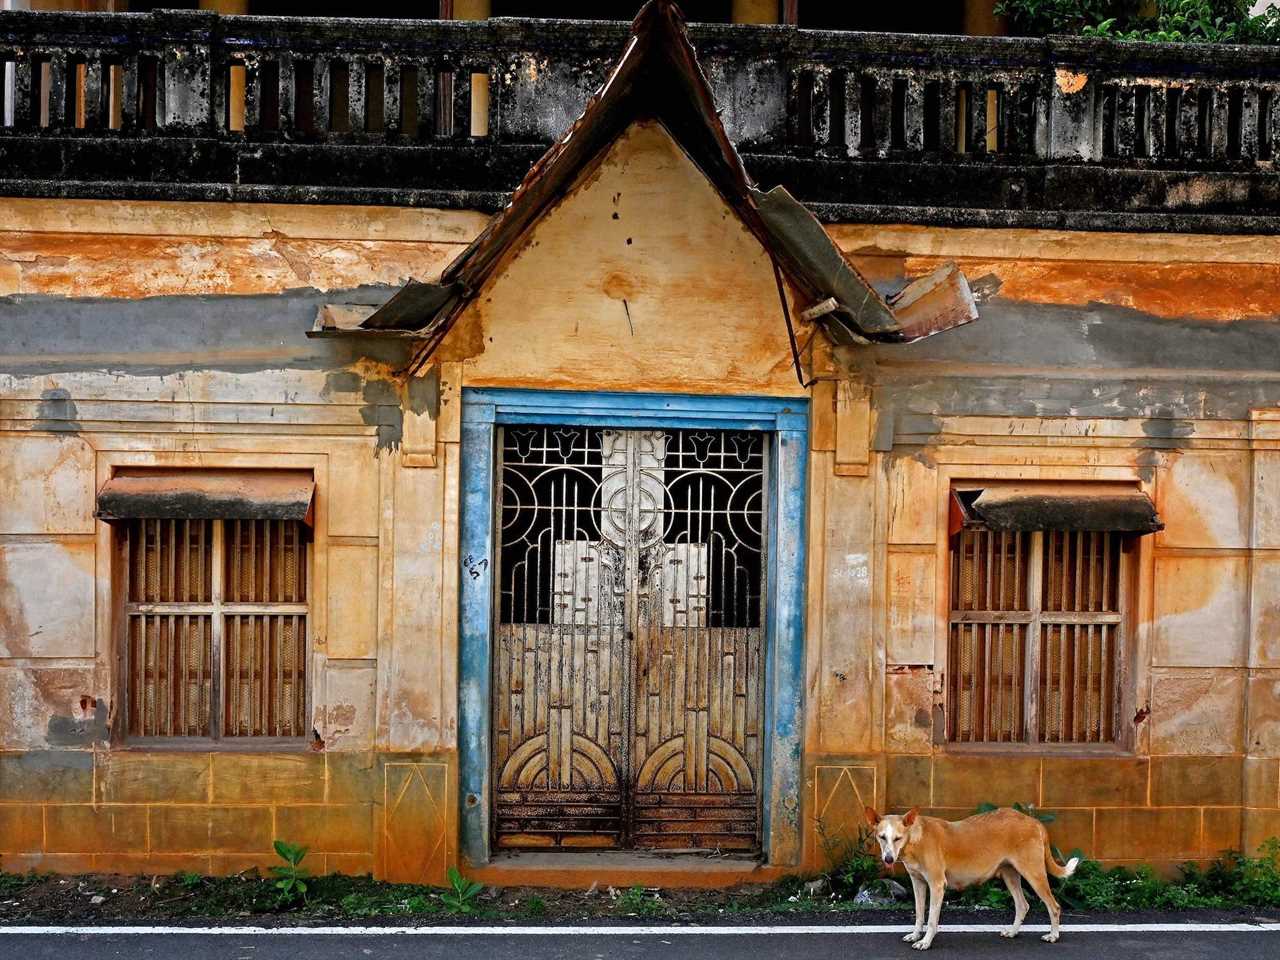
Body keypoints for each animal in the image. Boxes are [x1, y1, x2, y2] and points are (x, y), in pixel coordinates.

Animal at [860, 808, 1080, 952]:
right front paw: (915, 935)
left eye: (897, 838)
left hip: (1034, 874)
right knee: (1022, 905)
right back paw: (1013, 932)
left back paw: (1053, 936)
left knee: (1054, 906)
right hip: (1010, 875)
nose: (888, 859)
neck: (916, 839)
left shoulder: (937, 885)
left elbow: (931, 920)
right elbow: (919, 914)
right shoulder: (918, 883)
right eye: (881, 837)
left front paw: (925, 942)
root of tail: (1034, 821)